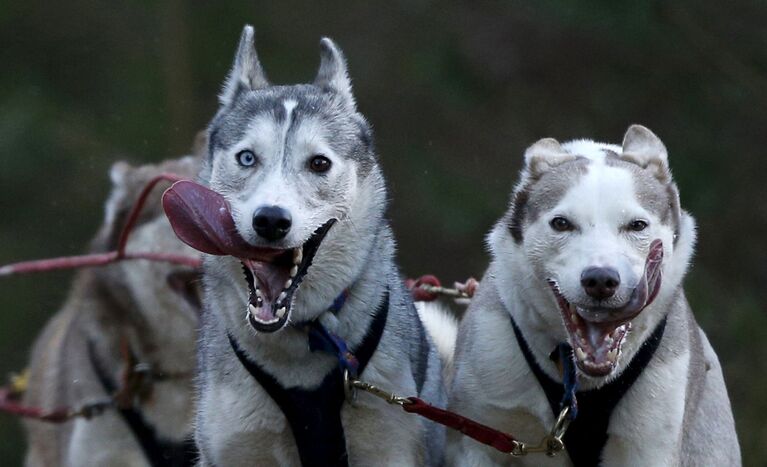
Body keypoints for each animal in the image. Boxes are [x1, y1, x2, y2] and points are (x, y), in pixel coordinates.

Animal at [448, 126, 740, 466]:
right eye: (561, 223)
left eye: (637, 225)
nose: (600, 279)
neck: (580, 384)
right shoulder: (481, 428)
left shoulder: (649, 442)